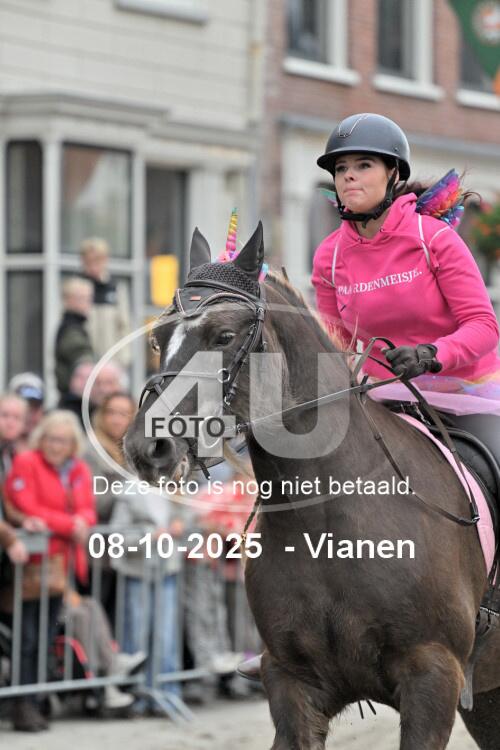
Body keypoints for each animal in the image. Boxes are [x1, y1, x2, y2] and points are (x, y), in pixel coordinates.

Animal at [125, 222, 500, 749]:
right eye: (159, 339)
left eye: (223, 335)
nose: (147, 445)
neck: (324, 517)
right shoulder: (292, 682)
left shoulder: (434, 677)